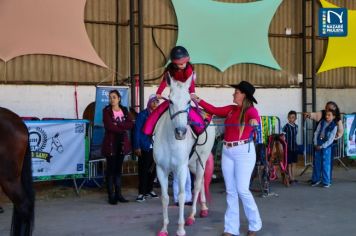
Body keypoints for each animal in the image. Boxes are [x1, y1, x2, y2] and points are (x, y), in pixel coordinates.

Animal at [153, 75, 214, 236]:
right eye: (170, 100)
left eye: (188, 101)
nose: (180, 132)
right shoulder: (161, 169)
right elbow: (165, 198)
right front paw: (164, 228)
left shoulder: (180, 168)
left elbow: (181, 196)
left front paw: (180, 229)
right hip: (192, 164)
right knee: (202, 181)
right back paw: (203, 208)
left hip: (201, 160)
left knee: (198, 185)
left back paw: (192, 216)